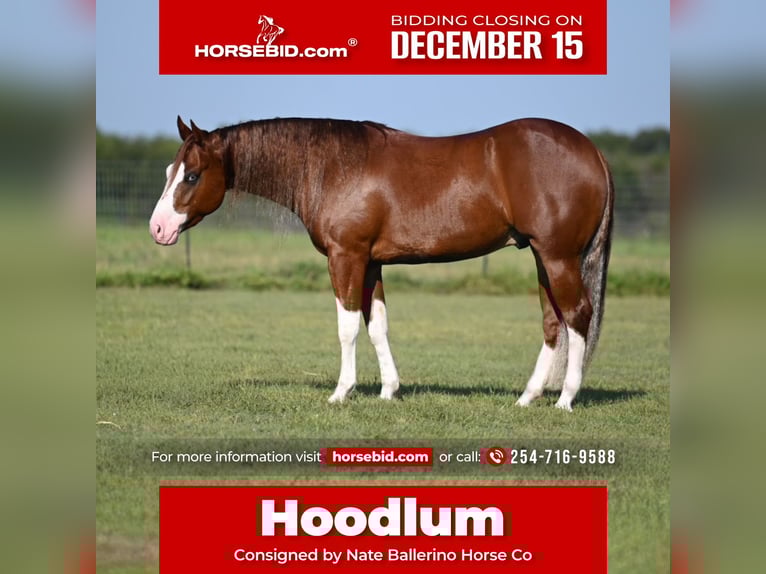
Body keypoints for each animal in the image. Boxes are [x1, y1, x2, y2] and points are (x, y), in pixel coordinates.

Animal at [150, 116, 614, 411]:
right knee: (553, 322)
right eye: (171, 169)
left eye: (192, 175)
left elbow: (348, 327)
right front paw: (389, 390)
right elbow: (378, 325)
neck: (330, 167)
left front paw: (341, 392)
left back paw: (565, 400)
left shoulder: (347, 256)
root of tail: (592, 150)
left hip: (557, 256)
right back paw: (528, 398)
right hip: (541, 257)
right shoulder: (371, 264)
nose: (158, 228)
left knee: (577, 315)